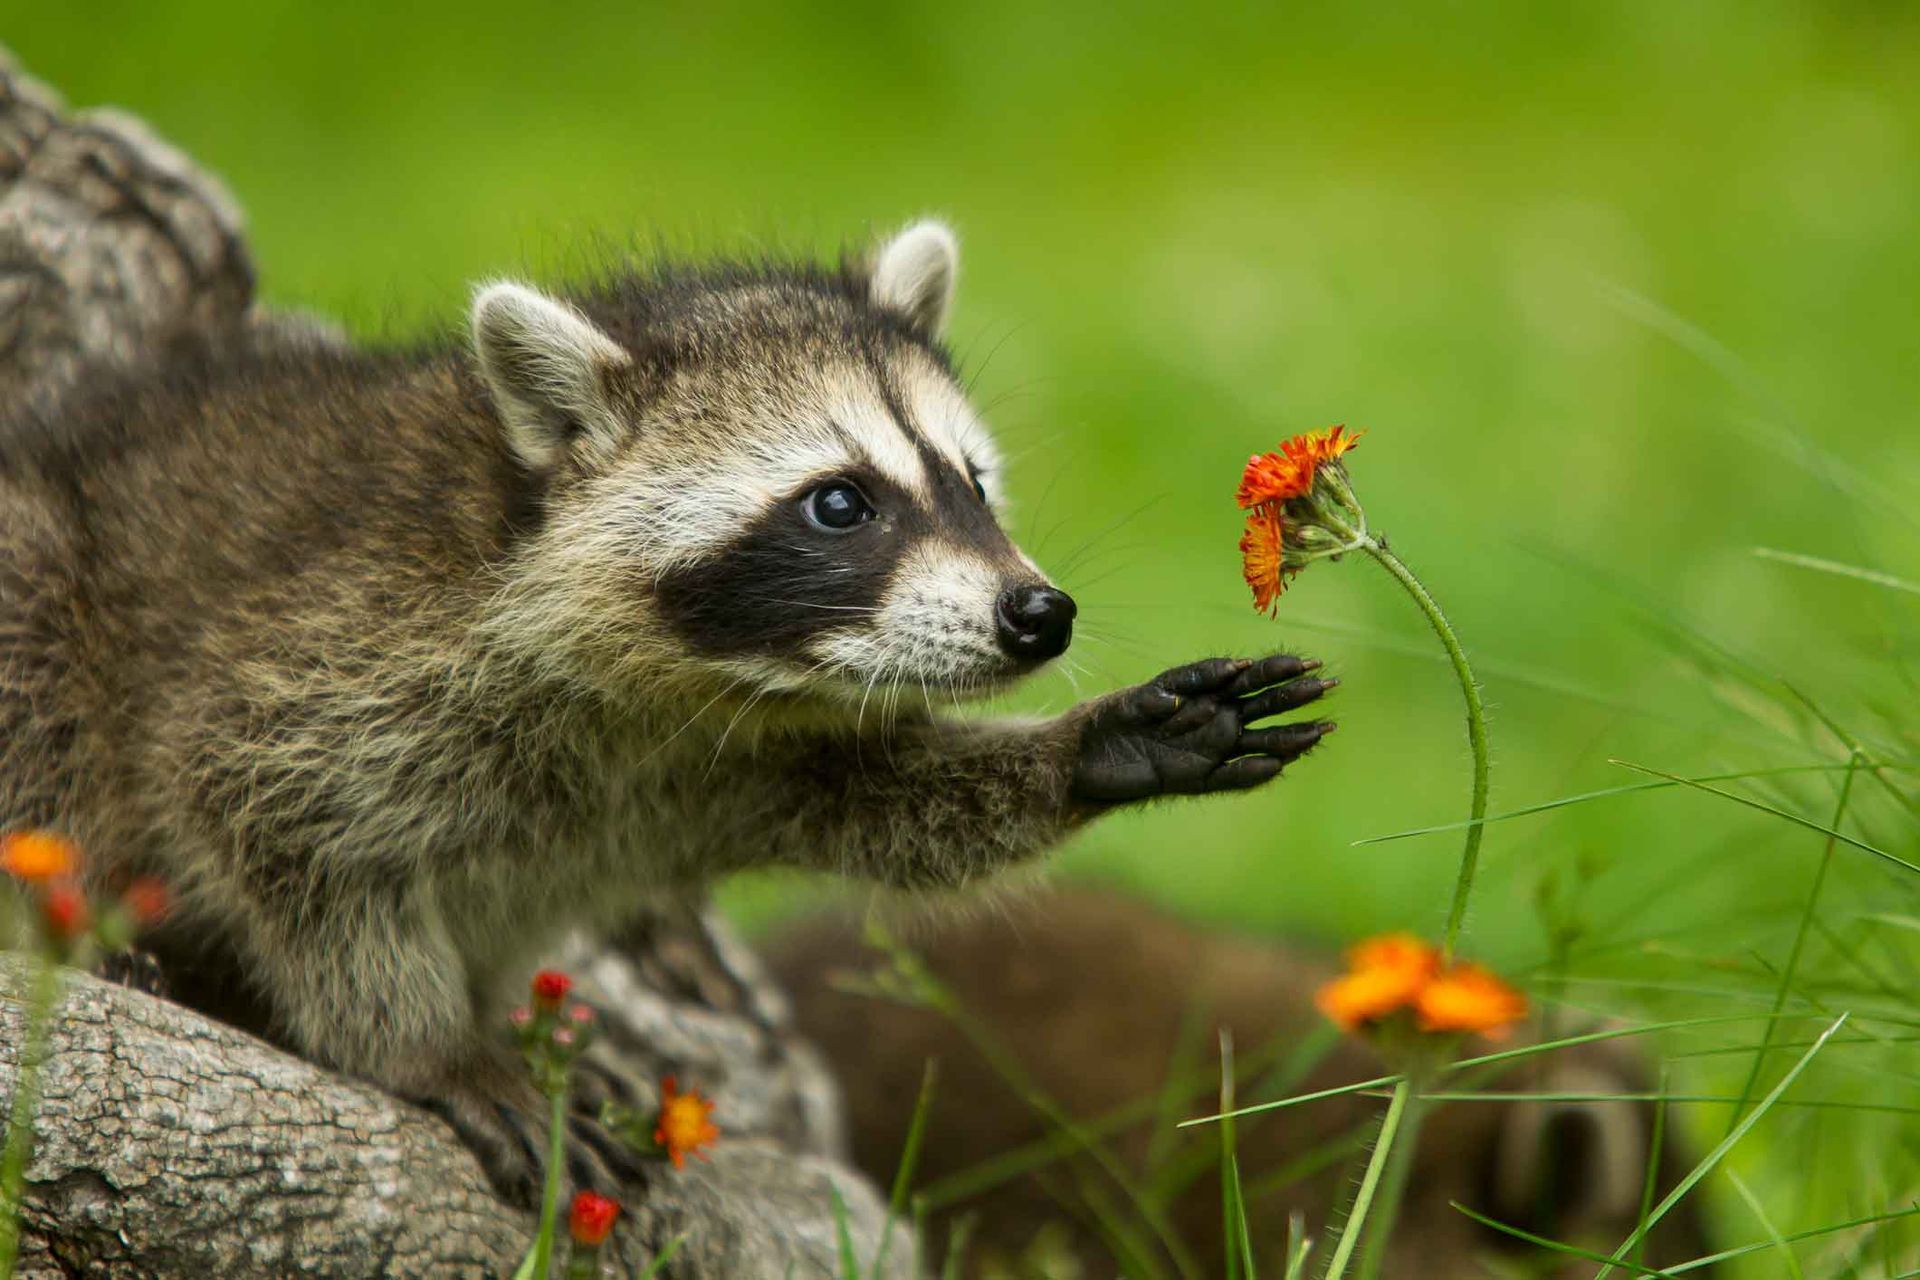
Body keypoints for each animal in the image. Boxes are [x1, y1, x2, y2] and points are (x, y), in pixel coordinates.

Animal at [0, 222, 1337, 1201]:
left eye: (971, 481)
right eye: (840, 503)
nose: (1038, 616)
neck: (684, 683)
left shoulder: (727, 756)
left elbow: (883, 803)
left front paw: (1095, 748)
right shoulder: (330, 653)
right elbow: (271, 819)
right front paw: (426, 1041)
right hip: (46, 578)